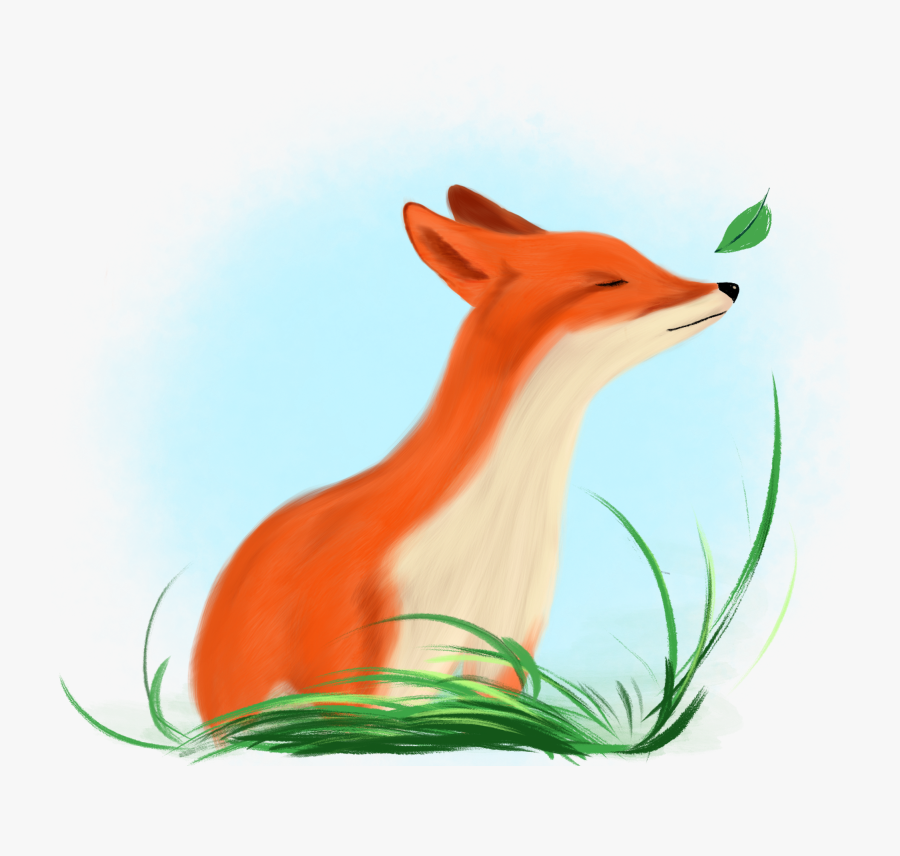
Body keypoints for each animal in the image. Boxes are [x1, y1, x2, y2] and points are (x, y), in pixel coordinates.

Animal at [190, 185, 739, 724]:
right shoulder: (372, 664)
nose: (729, 286)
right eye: (610, 281)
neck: (489, 532)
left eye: (645, 260)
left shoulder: (505, 648)